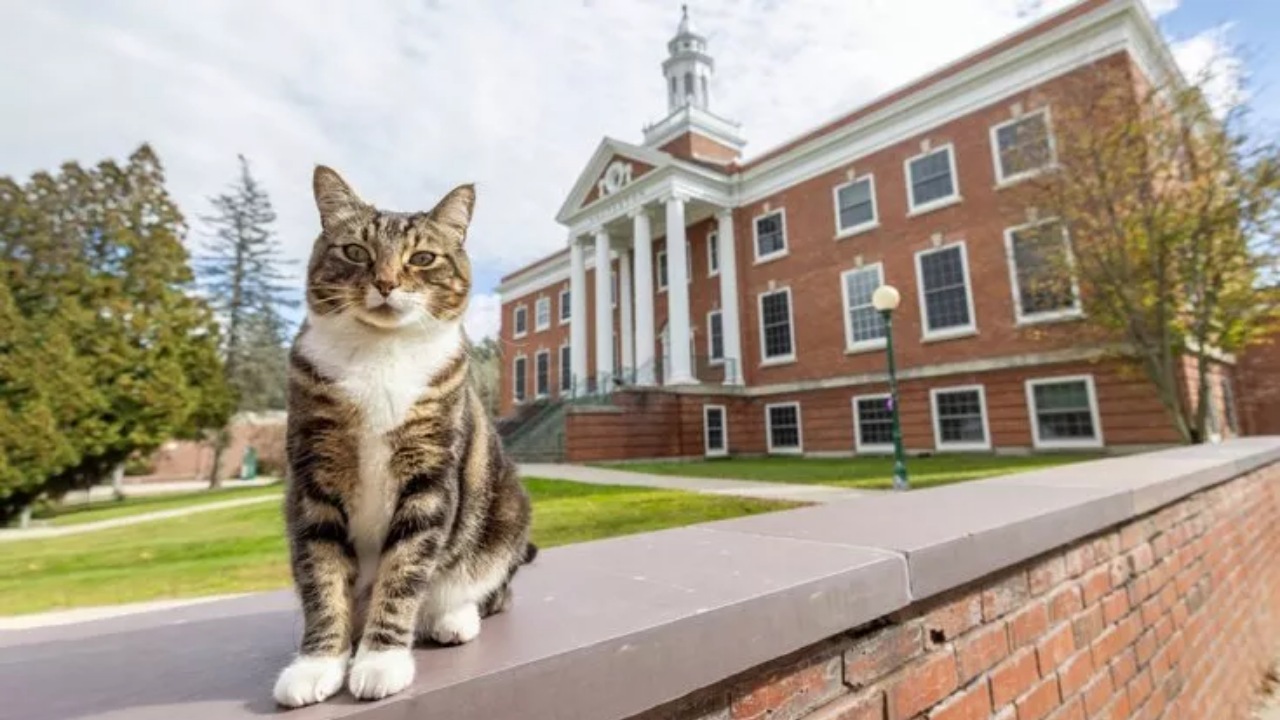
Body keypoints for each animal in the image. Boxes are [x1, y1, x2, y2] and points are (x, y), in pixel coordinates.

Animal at [275, 163, 535, 707]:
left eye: (423, 257)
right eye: (356, 251)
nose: (386, 282)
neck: (381, 353)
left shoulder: (429, 475)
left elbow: (405, 570)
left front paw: (380, 660)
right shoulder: (314, 478)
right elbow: (322, 577)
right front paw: (317, 664)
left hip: (506, 512)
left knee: (492, 590)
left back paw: (453, 617)